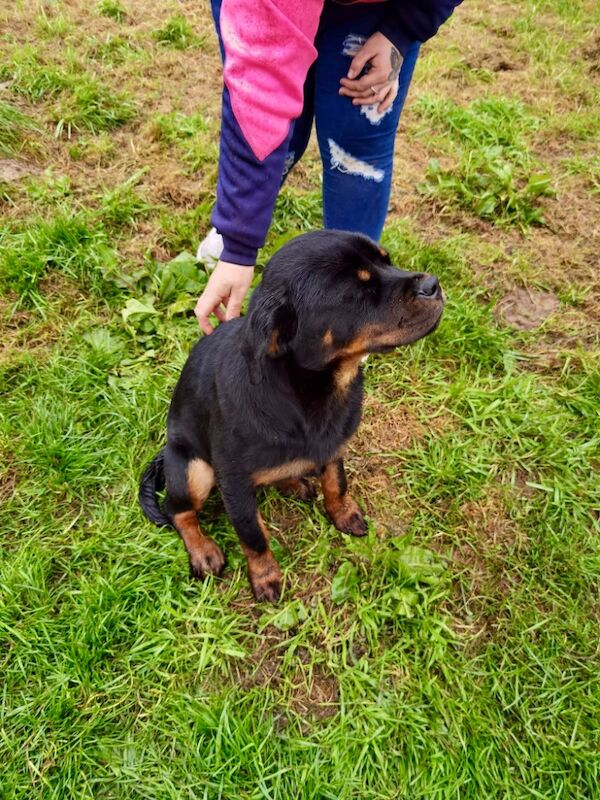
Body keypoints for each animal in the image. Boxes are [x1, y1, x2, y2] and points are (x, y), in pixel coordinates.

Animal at [138, 228, 442, 604]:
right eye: (358, 293)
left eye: (388, 260)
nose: (433, 284)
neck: (311, 391)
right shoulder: (233, 482)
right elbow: (253, 535)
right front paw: (265, 577)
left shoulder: (332, 446)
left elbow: (336, 483)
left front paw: (345, 514)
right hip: (195, 469)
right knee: (177, 510)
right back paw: (202, 550)